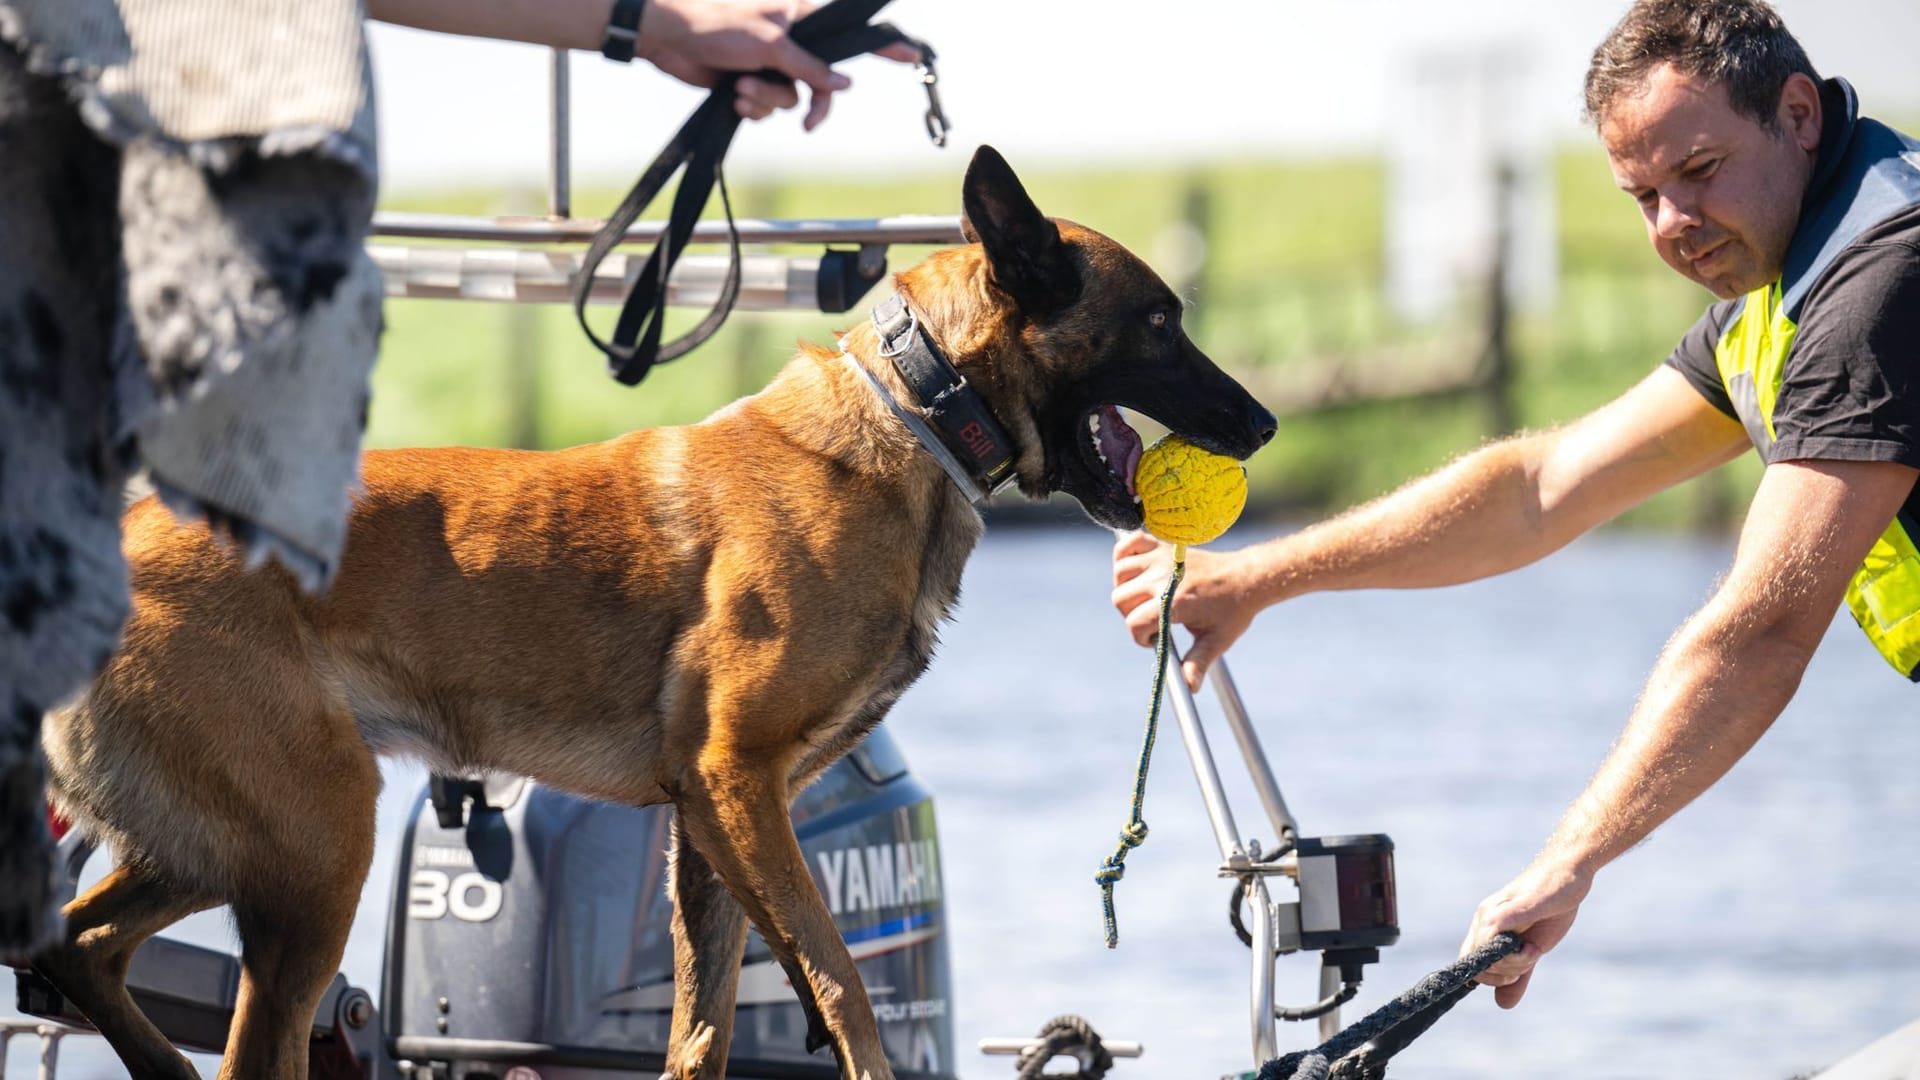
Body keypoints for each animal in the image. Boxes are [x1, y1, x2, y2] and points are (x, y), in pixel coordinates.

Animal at [30, 145, 1274, 1076]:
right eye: (1159, 323)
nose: (1263, 424)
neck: (918, 413)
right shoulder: (735, 782)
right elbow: (842, 990)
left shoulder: (710, 826)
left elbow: (704, 1031)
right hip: (321, 845)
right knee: (229, 1029)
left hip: (229, 845)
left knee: (72, 950)